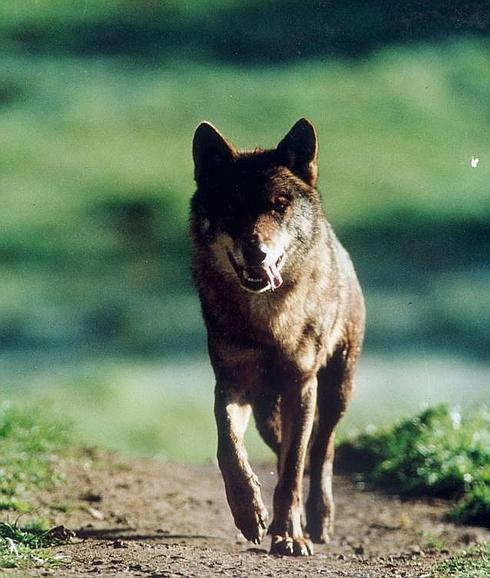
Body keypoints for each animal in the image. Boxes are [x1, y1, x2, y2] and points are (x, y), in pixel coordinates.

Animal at [189, 118, 366, 552]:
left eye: (279, 205)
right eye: (231, 207)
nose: (257, 252)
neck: (268, 320)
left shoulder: (302, 385)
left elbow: (292, 471)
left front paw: (289, 535)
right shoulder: (230, 383)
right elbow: (228, 449)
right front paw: (249, 513)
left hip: (335, 390)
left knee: (321, 449)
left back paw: (319, 519)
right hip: (268, 415)